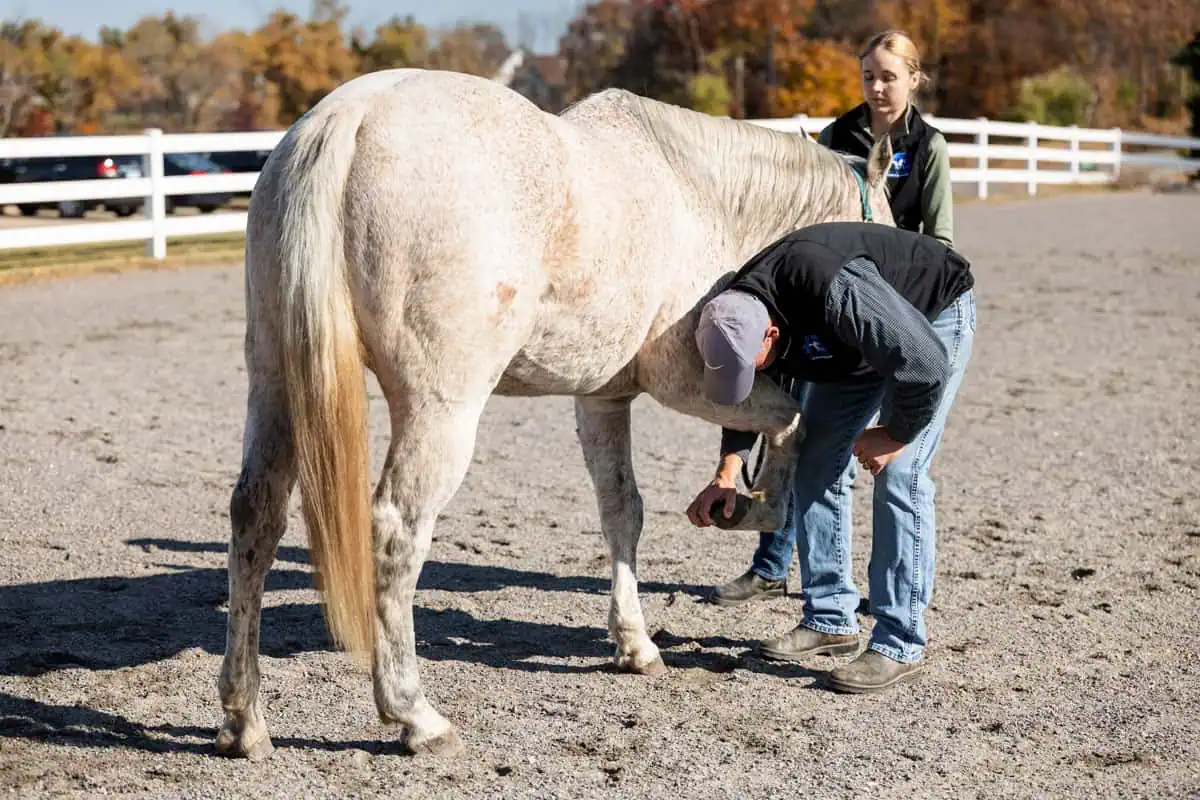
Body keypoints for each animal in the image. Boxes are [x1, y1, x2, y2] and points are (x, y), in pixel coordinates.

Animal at [218, 67, 895, 759]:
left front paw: (634, 645)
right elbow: (790, 424)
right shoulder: (686, 381)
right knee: (395, 531)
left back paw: (246, 719)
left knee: (256, 517)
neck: (698, 198)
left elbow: (623, 511)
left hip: (274, 383)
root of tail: (351, 116)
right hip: (440, 410)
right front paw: (756, 507)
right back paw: (415, 716)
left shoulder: (604, 397)